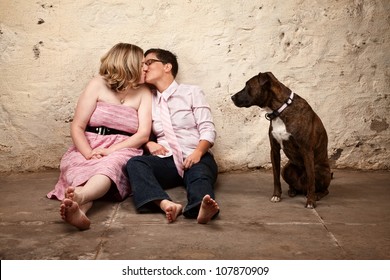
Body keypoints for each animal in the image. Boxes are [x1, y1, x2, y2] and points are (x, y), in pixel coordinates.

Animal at [233, 72, 330, 208]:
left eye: (248, 86)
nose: (232, 97)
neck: (280, 110)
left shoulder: (307, 150)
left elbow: (311, 180)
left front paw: (310, 202)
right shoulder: (274, 150)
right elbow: (275, 176)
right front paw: (276, 195)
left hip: (321, 170)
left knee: (323, 188)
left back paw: (316, 195)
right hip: (287, 169)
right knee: (295, 184)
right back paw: (292, 190)